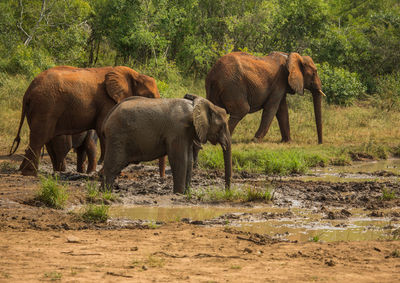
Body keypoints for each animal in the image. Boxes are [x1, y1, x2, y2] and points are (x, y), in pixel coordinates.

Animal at [9, 66, 166, 178]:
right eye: (149, 96)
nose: (162, 178)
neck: (133, 74)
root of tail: (28, 91)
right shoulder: (107, 102)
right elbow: (104, 131)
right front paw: (110, 174)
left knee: (42, 139)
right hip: (46, 105)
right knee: (39, 138)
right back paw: (30, 174)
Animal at [101, 94, 231, 194]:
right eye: (222, 126)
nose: (227, 192)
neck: (196, 106)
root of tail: (108, 116)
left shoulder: (187, 133)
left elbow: (188, 160)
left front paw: (186, 193)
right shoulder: (178, 130)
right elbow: (180, 159)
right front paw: (179, 194)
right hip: (118, 136)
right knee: (113, 166)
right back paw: (106, 193)